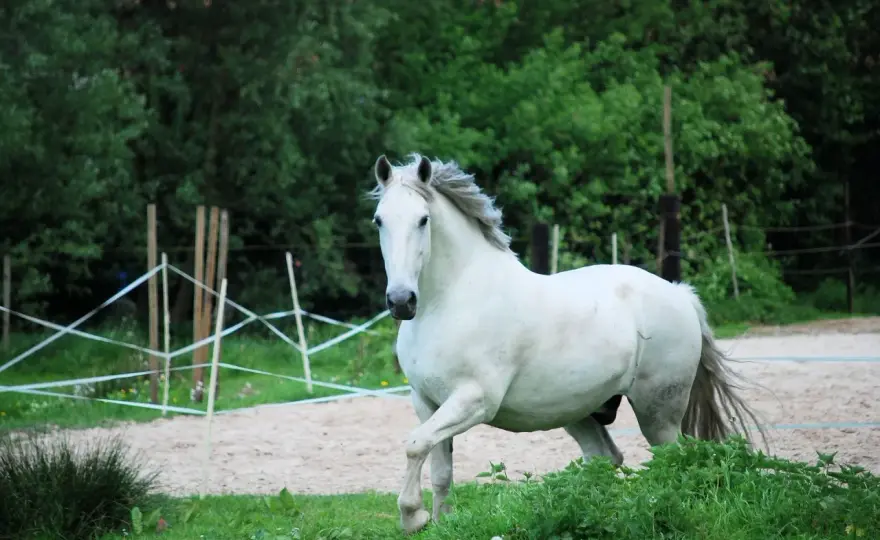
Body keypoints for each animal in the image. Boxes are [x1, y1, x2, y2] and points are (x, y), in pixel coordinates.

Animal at [367, 153, 767, 534]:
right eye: (379, 220)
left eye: (423, 220)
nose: (401, 301)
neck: (449, 301)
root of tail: (680, 294)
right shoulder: (427, 401)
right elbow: (438, 467)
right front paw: (439, 521)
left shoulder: (474, 400)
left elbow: (414, 445)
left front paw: (413, 517)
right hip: (579, 412)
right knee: (606, 458)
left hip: (659, 411)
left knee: (670, 460)